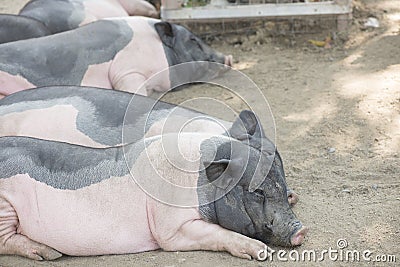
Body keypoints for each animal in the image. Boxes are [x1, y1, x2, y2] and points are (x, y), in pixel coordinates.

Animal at [0, 111, 308, 262]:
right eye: (256, 192)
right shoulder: (170, 228)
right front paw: (261, 252)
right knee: (7, 241)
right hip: (5, 206)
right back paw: (49, 254)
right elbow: (214, 232)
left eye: (281, 182)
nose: (301, 230)